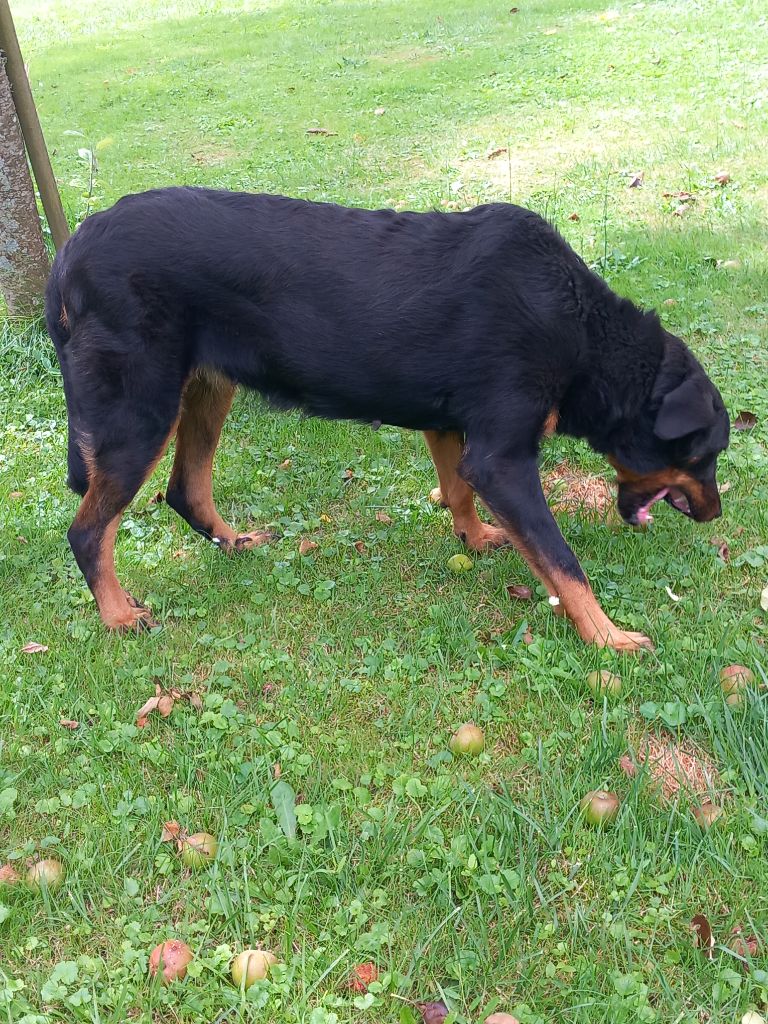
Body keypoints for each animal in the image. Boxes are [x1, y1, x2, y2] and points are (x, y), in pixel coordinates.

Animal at [45, 186, 729, 647]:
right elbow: (563, 562)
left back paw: (233, 542)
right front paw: (609, 637)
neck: (581, 329)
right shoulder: (503, 459)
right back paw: (117, 615)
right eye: (703, 453)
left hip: (207, 390)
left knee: (186, 489)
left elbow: (458, 492)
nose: (716, 515)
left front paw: (474, 539)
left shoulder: (451, 427)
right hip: (140, 413)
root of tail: (71, 250)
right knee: (89, 530)